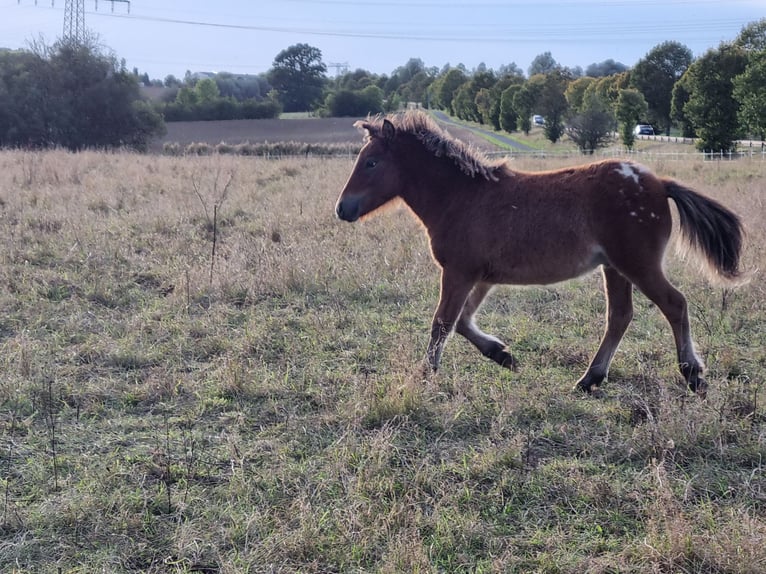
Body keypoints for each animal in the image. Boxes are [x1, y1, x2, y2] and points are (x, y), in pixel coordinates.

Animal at [334, 111, 744, 396]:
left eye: (371, 162)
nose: (342, 209)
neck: (462, 197)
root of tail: (659, 183)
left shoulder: (459, 272)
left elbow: (443, 322)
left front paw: (423, 375)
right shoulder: (480, 276)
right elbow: (463, 321)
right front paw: (502, 355)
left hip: (638, 264)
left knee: (674, 304)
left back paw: (692, 374)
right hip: (614, 267)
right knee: (620, 317)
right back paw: (590, 379)